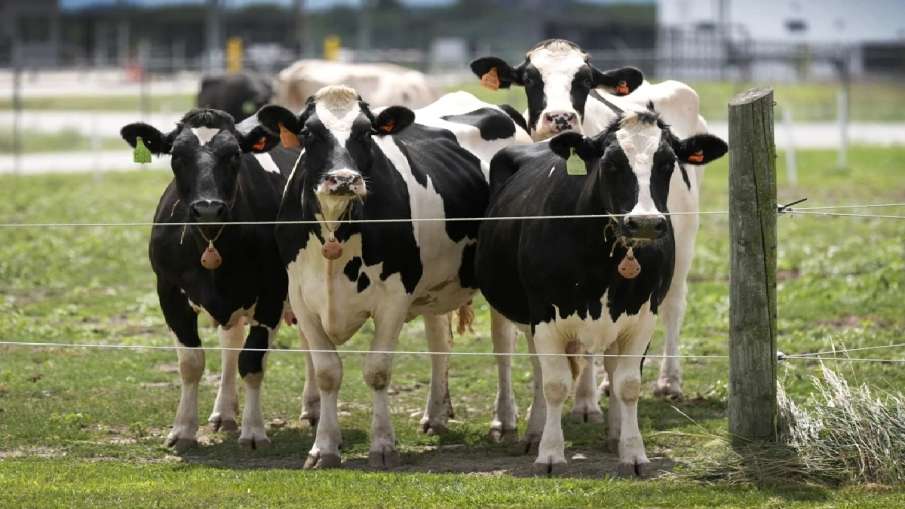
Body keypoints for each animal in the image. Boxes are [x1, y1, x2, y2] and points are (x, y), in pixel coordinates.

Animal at [120, 108, 298, 451]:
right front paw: (183, 430)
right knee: (230, 345)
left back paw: (312, 409)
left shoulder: (273, 292)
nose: (208, 208)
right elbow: (192, 363)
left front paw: (254, 431)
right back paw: (224, 412)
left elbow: (252, 362)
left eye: (234, 155)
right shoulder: (169, 291)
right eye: (177, 155)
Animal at [255, 84, 532, 469]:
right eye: (309, 133)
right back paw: (436, 415)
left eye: (366, 132)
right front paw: (324, 447)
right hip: (435, 284)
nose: (344, 179)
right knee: (439, 343)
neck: (336, 230)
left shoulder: (393, 298)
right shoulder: (302, 298)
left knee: (503, 347)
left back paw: (504, 421)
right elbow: (327, 372)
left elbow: (378, 370)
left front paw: (383, 445)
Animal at [471, 39, 711, 407]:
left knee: (673, 305)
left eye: (583, 80)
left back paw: (668, 380)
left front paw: (586, 402)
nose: (560, 118)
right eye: (530, 79)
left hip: (685, 238)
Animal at [475, 106, 727, 476]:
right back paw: (535, 433)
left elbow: (628, 384)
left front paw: (633, 452)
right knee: (538, 370)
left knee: (608, 366)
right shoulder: (545, 316)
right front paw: (550, 453)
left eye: (667, 163)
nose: (645, 223)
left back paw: (615, 433)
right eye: (611, 164)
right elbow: (554, 384)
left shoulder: (642, 317)